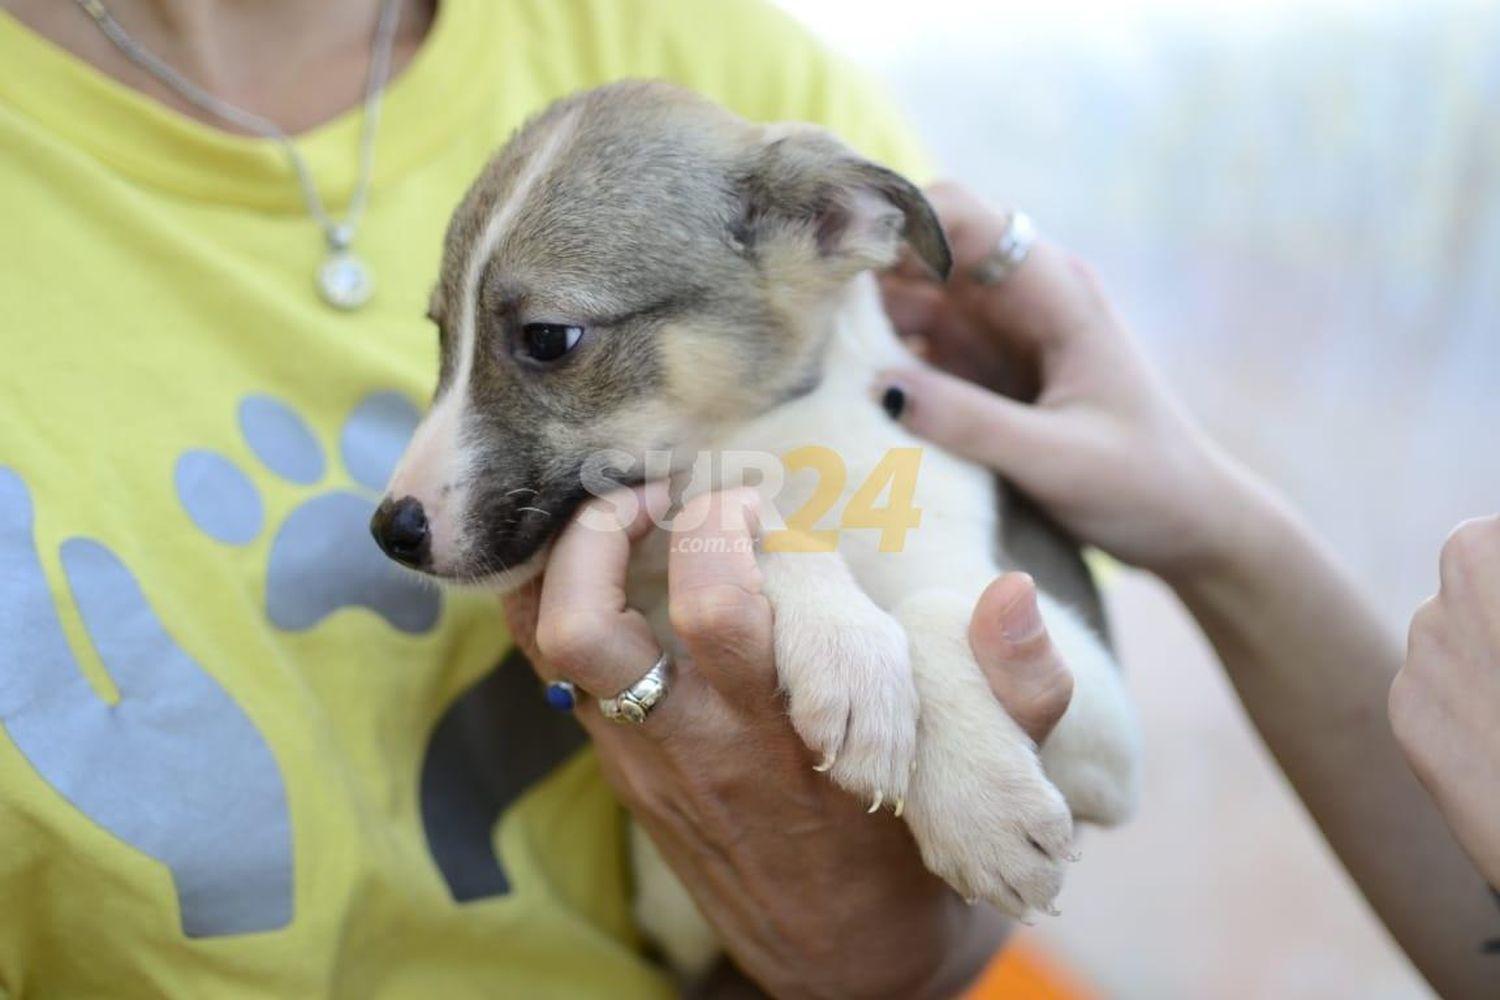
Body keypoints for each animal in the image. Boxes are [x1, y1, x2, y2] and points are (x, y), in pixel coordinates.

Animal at [372, 80, 1134, 977]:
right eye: (439, 332)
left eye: (549, 338)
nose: (390, 529)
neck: (783, 448)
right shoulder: (675, 919)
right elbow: (738, 516)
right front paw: (849, 652)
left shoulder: (1105, 726)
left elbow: (943, 604)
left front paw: (982, 803)